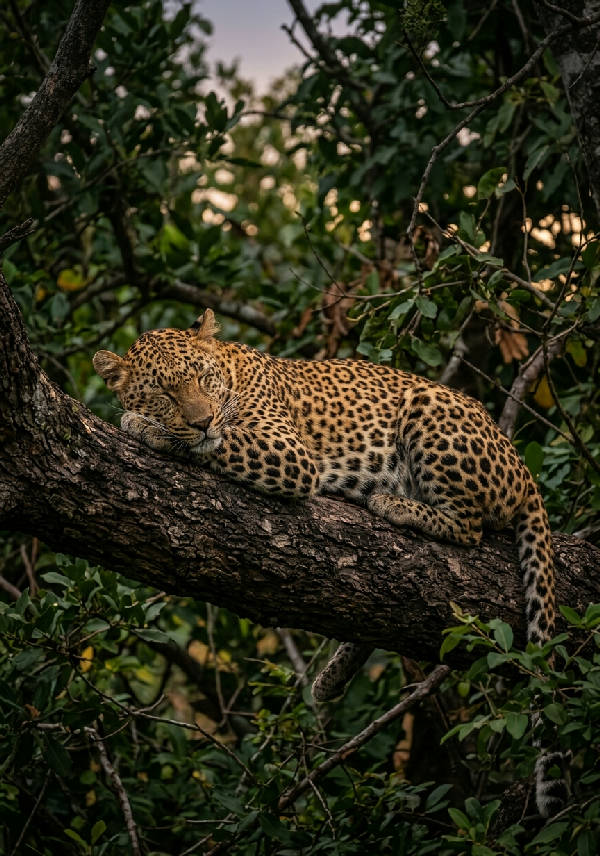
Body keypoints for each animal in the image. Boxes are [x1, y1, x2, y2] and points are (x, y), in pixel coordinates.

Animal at [93, 308, 565, 816]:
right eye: (163, 393)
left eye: (202, 378)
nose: (202, 421)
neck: (231, 374)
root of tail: (522, 466)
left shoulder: (287, 452)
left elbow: (212, 444)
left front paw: (142, 426)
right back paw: (330, 678)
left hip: (430, 408)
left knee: (470, 527)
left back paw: (392, 504)